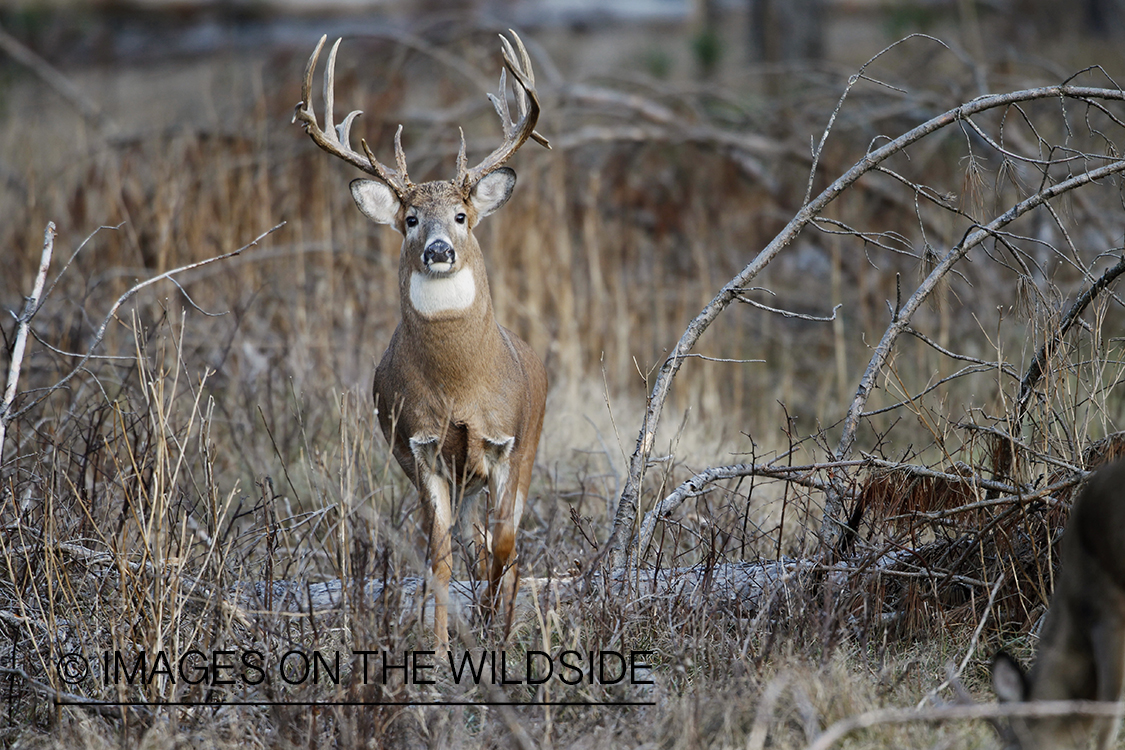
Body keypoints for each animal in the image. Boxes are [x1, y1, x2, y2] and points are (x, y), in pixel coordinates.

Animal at [294, 32, 549, 647]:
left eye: (460, 215)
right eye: (410, 218)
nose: (438, 250)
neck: (460, 382)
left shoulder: (506, 443)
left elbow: (503, 547)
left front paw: (494, 633)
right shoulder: (421, 449)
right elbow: (439, 557)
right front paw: (437, 648)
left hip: (528, 449)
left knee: (501, 544)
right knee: (468, 541)